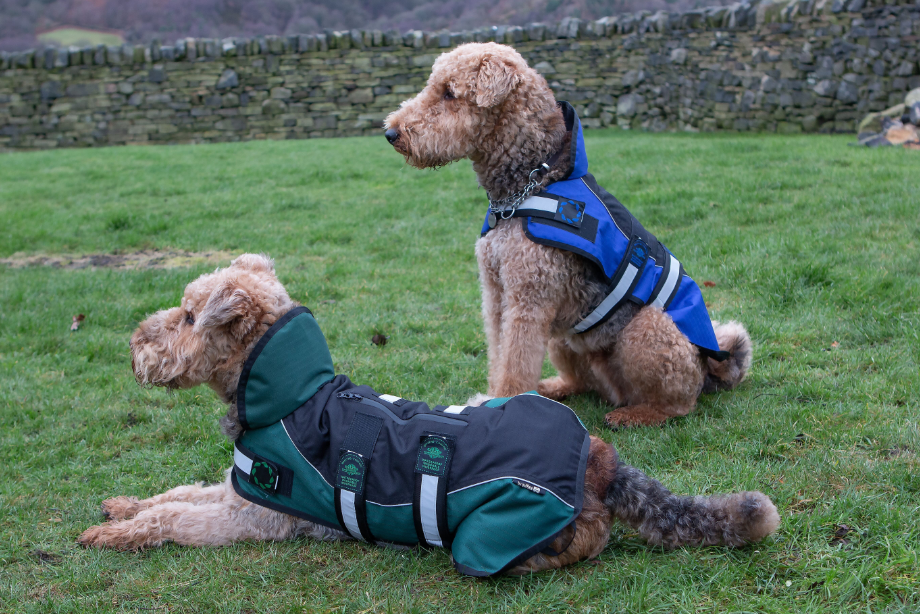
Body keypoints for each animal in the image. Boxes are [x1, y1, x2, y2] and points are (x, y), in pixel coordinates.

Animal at [81, 255, 784, 576]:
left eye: (188, 316)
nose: (134, 345)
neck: (289, 395)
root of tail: (600, 462)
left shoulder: (252, 515)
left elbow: (175, 516)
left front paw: (111, 534)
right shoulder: (234, 489)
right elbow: (173, 493)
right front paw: (119, 508)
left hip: (495, 534)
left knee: (581, 543)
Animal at [384, 43, 752, 428]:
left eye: (450, 93)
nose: (391, 133)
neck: (528, 187)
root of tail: (713, 368)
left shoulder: (527, 300)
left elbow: (513, 366)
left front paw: (503, 404)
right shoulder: (497, 295)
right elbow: (499, 357)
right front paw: (493, 398)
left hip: (648, 327)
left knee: (678, 403)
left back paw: (632, 415)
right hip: (564, 339)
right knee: (581, 383)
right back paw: (551, 388)